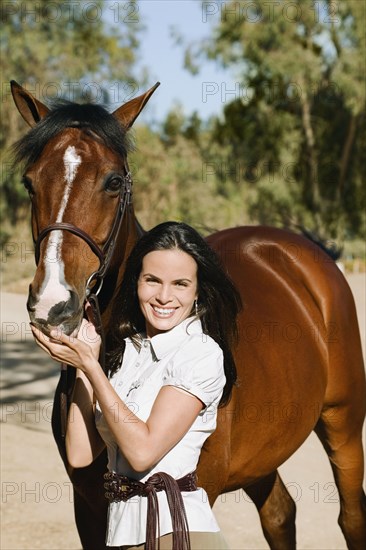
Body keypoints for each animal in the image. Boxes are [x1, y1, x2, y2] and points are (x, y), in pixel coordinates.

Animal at [11, 82, 366, 550]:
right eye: (30, 183)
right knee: (279, 513)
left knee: (351, 516)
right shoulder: (86, 504)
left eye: (113, 181)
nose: (52, 302)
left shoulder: (197, 488)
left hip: (344, 423)